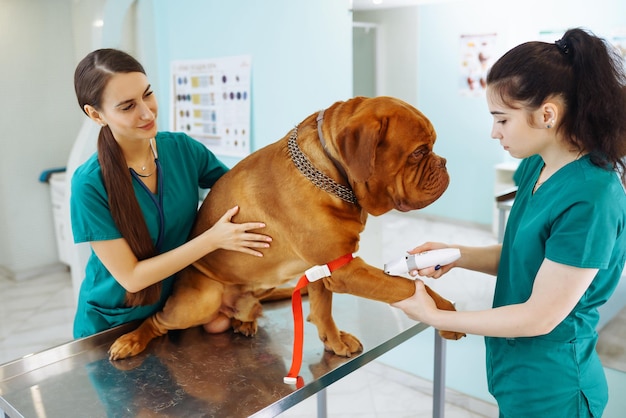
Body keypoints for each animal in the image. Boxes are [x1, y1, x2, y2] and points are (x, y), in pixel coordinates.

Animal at [108, 96, 464, 360]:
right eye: (419, 152)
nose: (444, 163)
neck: (331, 173)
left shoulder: (325, 267)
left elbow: (322, 307)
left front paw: (333, 340)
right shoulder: (345, 269)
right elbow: (408, 287)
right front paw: (445, 313)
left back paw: (243, 322)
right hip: (200, 300)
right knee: (157, 321)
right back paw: (132, 340)